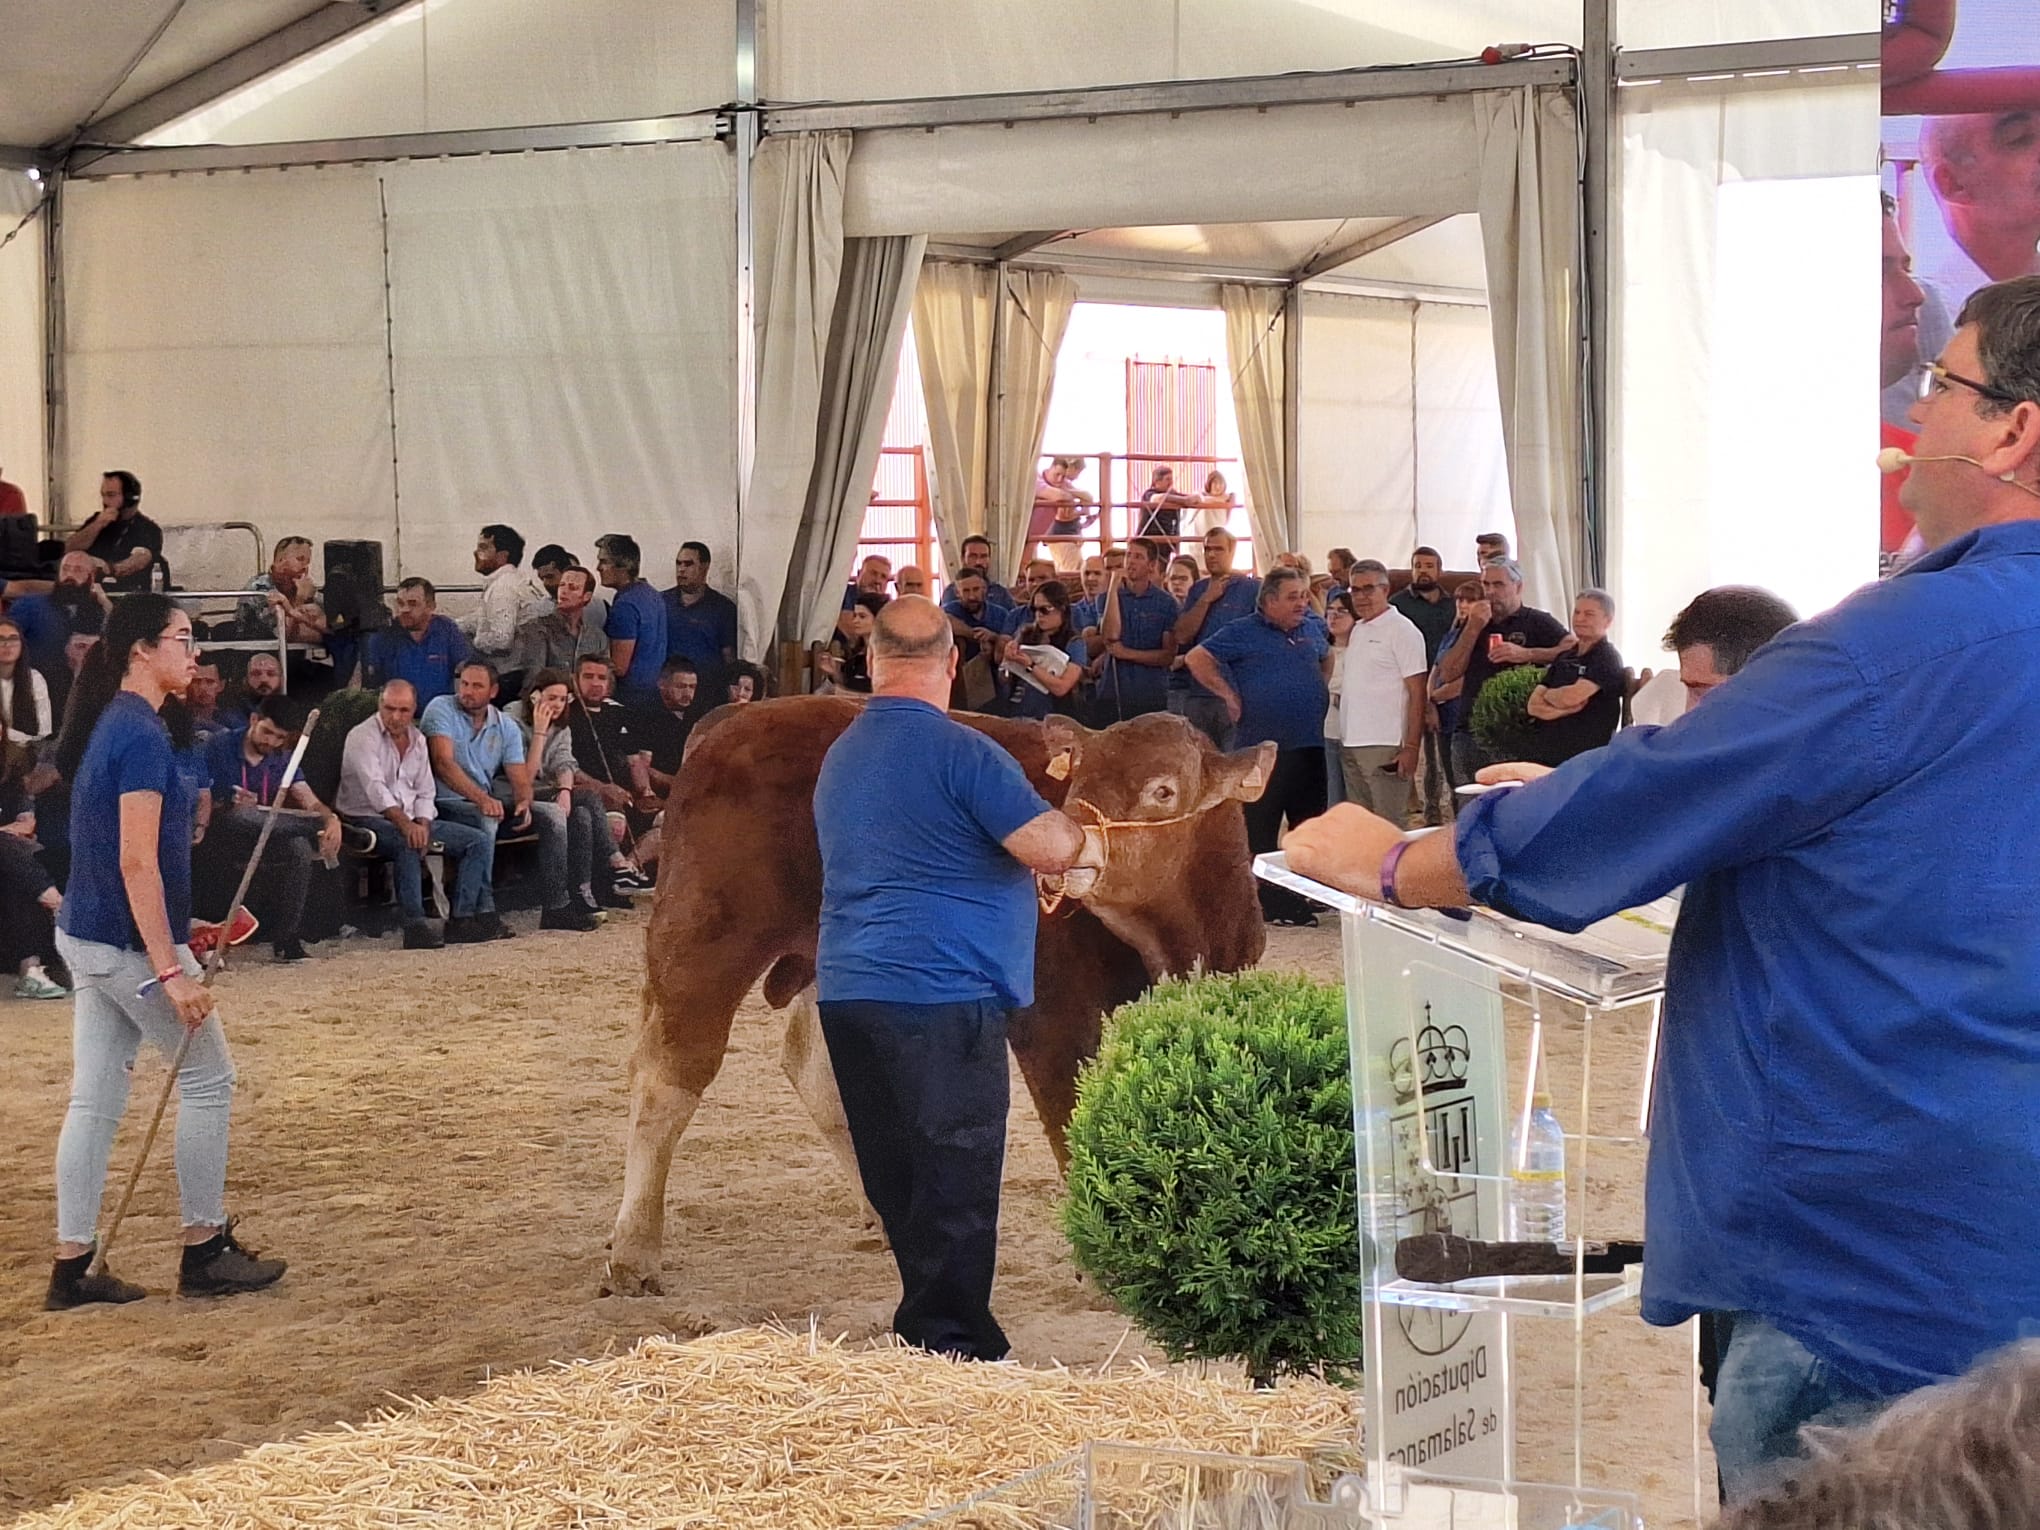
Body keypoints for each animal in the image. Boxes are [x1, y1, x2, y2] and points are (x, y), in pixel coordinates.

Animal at [603, 701, 1264, 1297]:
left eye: (1162, 790)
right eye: (1076, 779)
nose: (1064, 849)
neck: (1175, 940)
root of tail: (732, 720)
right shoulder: (1055, 1019)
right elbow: (1072, 1118)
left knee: (812, 1071)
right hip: (706, 938)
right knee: (668, 1075)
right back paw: (634, 1253)